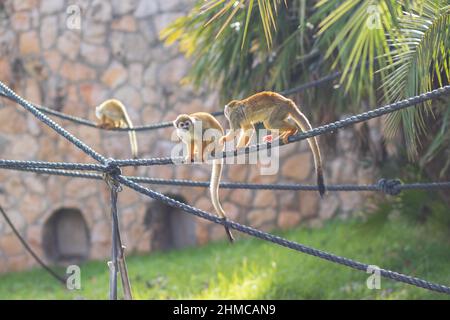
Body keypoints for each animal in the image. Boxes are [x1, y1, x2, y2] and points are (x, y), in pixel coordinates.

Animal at [173, 112, 236, 242]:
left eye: (187, 123)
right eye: (182, 125)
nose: (185, 127)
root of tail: (221, 146)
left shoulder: (196, 127)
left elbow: (200, 138)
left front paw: (199, 155)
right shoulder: (181, 133)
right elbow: (189, 142)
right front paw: (190, 156)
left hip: (217, 140)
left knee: (207, 133)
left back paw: (205, 153)